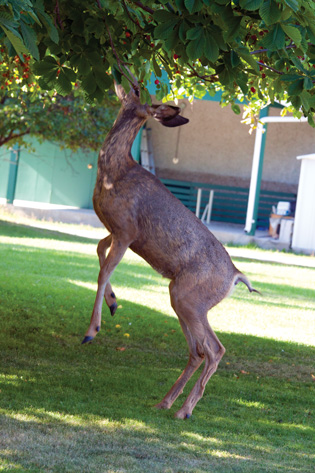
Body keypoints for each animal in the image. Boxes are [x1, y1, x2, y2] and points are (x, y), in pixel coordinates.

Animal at [81, 79, 260, 418]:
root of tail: (235, 276)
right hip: (179, 296)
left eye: (137, 92)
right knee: (197, 351)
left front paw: (92, 330)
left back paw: (184, 411)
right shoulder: (117, 231)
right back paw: (164, 402)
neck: (115, 171)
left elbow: (102, 271)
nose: (122, 80)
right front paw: (114, 303)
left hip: (190, 298)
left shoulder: (126, 229)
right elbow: (99, 253)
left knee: (215, 349)